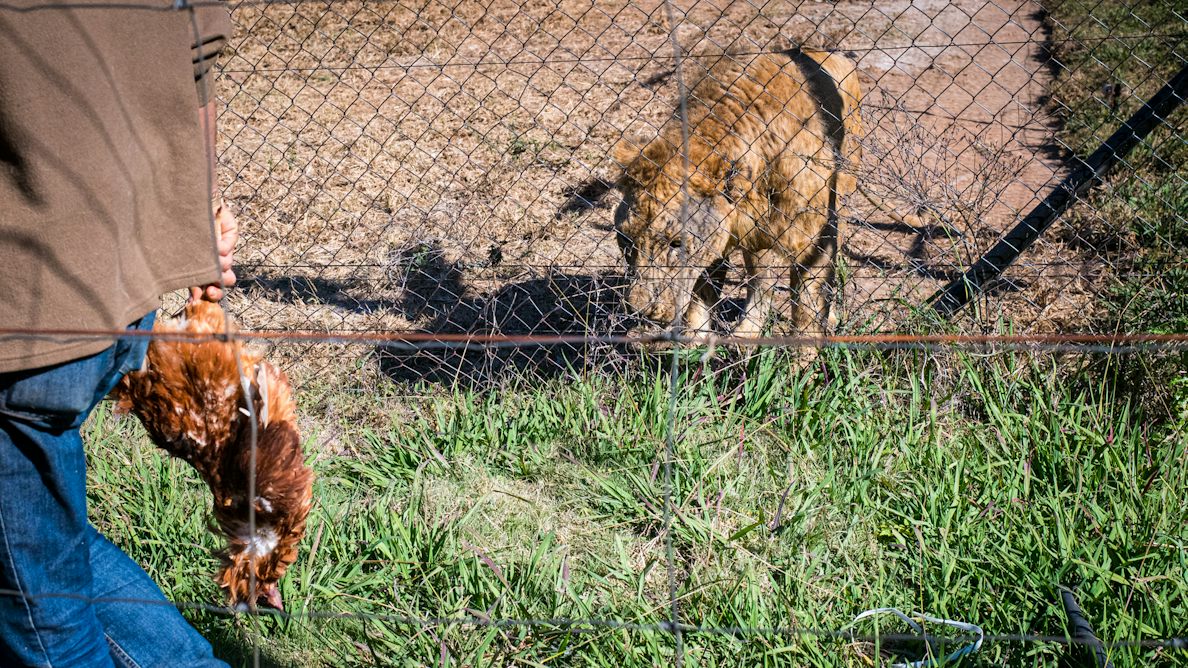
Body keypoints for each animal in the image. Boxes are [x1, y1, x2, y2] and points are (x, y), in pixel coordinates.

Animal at [612, 48, 864, 343]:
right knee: (760, 276)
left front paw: (807, 352)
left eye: (676, 243)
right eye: (625, 239)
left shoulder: (813, 233)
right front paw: (695, 342)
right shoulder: (721, 236)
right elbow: (701, 293)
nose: (643, 311)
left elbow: (807, 306)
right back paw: (748, 331)